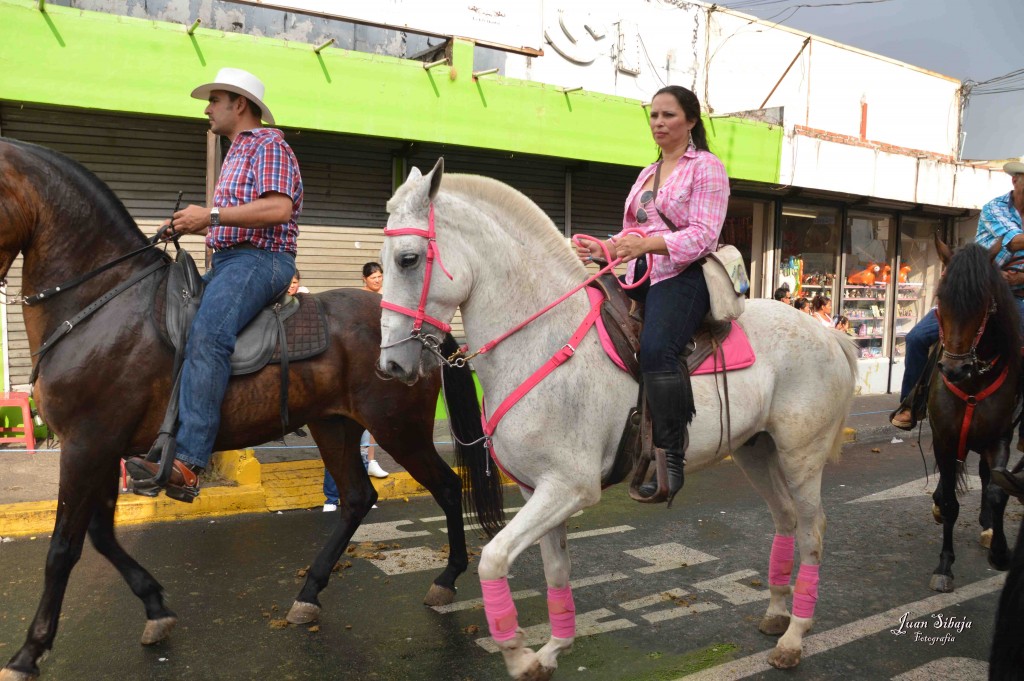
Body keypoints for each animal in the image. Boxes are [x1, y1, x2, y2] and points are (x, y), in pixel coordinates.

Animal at [376, 160, 856, 679]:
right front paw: (552, 649)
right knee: (785, 518)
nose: (392, 365)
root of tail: (829, 335)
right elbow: (556, 571)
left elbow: (494, 559)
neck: (542, 338)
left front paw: (519, 654)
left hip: (800, 455)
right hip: (756, 450)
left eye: (408, 259)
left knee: (812, 529)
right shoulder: (536, 490)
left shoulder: (570, 487)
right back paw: (776, 613)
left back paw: (794, 636)